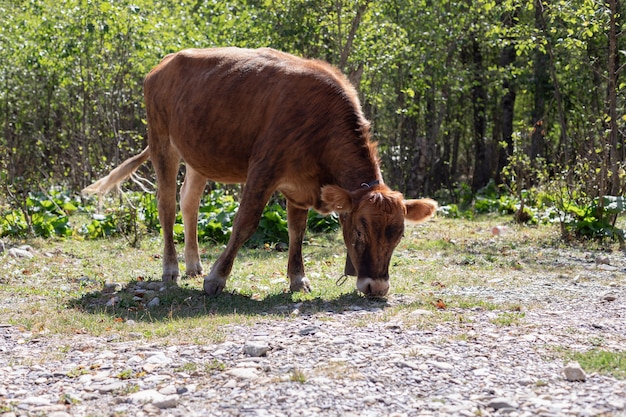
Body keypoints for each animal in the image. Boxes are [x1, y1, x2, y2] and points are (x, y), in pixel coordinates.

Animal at [81, 47, 434, 296]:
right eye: (359, 233)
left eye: (399, 235)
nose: (377, 288)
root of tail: (165, 62)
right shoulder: (264, 167)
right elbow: (245, 221)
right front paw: (217, 279)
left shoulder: (300, 185)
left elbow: (297, 231)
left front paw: (297, 279)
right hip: (162, 141)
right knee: (166, 204)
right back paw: (172, 269)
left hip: (199, 153)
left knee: (189, 201)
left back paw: (194, 263)